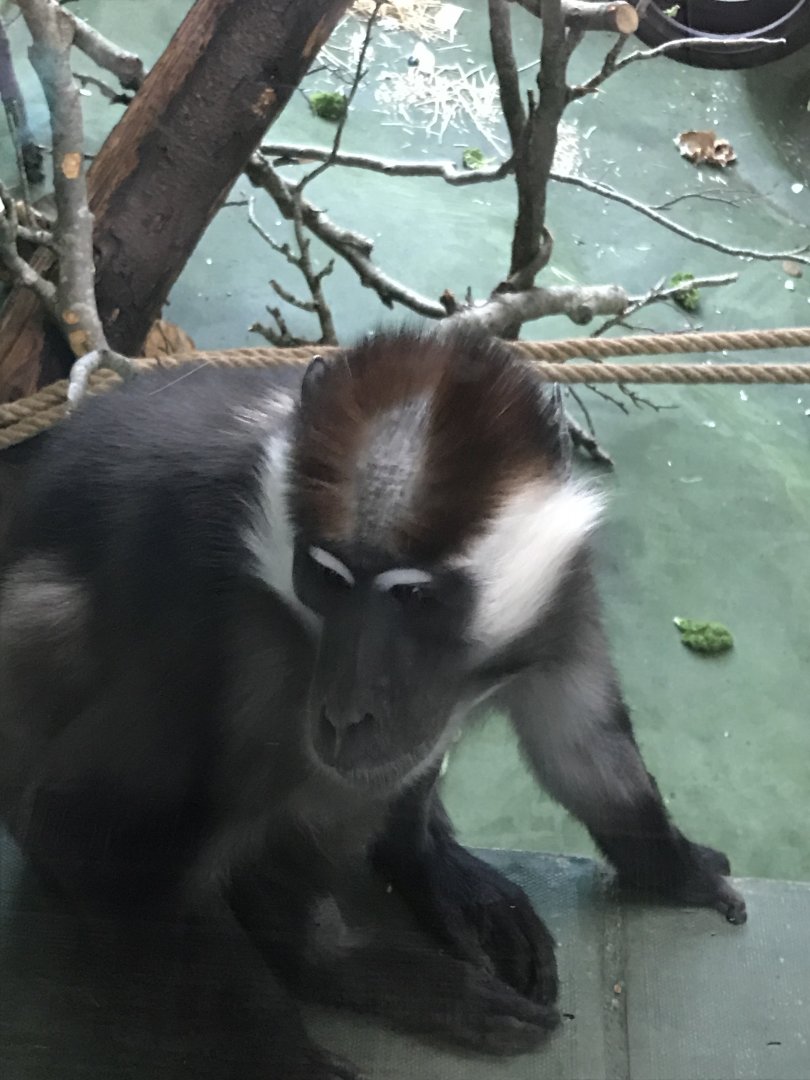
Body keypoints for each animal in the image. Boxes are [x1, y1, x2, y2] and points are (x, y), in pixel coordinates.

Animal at [0, 325, 746, 1079]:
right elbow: (97, 842)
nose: (344, 710)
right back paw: (328, 958)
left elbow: (582, 748)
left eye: (411, 596)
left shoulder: (555, 592)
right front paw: (285, 1055)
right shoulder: (187, 600)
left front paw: (672, 870)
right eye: (326, 577)